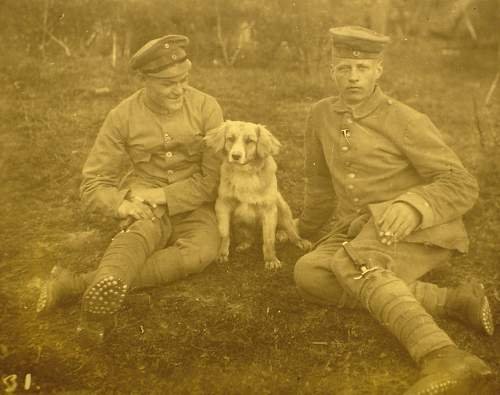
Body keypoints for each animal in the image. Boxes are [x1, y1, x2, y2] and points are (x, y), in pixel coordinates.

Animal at [203, 120, 308, 270]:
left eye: (249, 141)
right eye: (230, 139)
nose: (235, 156)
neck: (245, 174)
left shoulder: (269, 210)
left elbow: (269, 239)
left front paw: (271, 259)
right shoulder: (222, 205)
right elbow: (224, 233)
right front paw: (222, 254)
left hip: (282, 206)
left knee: (291, 230)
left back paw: (297, 240)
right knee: (249, 237)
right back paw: (244, 244)